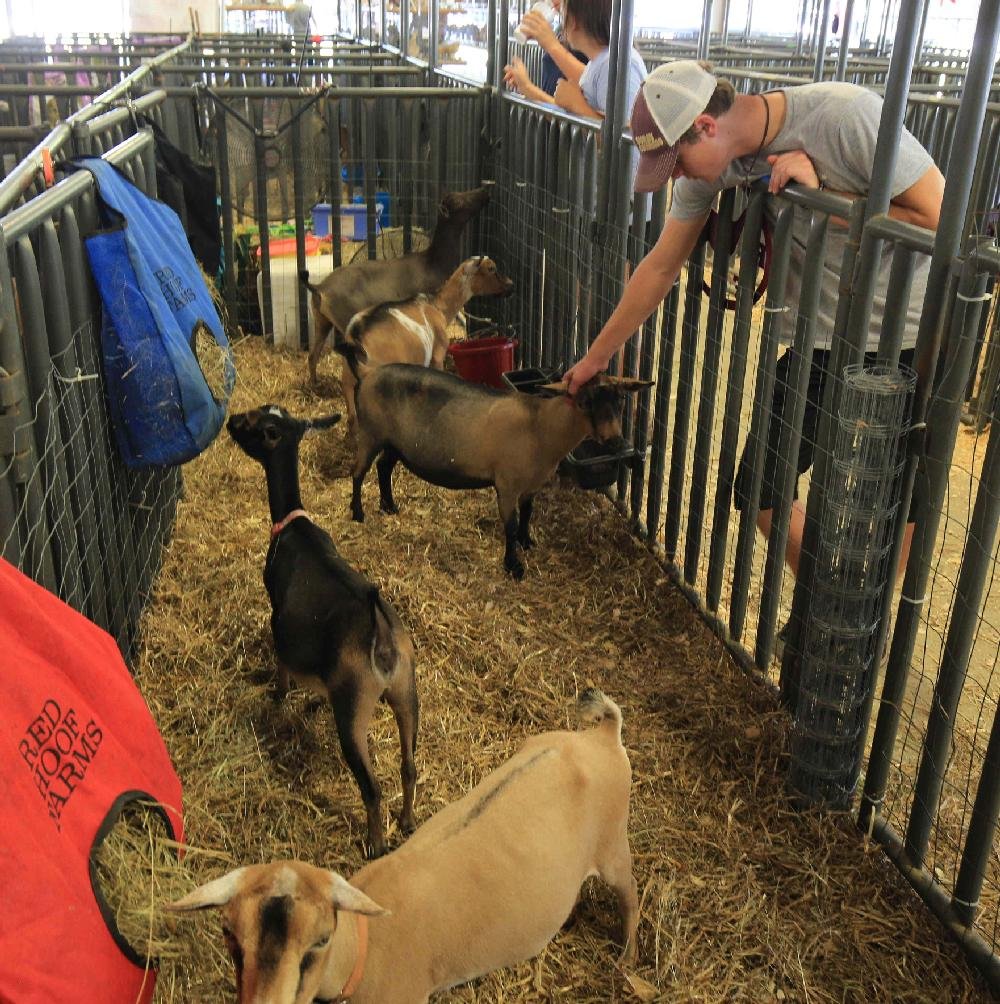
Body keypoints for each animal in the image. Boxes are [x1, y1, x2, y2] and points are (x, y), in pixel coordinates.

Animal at [164, 690, 638, 1003]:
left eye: (321, 940)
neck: (364, 945)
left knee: (630, 896)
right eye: (229, 935)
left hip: (614, 841)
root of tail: (602, 736)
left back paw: (626, 960)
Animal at [301, 186, 495, 381]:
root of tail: (319, 288)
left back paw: (314, 383)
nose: (485, 192)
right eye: (458, 201)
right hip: (344, 320)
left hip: (322, 321)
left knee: (313, 355)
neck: (433, 262)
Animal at [337, 255, 512, 427]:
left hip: (348, 382)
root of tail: (356, 335)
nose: (511, 285)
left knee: (352, 418)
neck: (438, 306)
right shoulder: (437, 356)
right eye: (491, 268)